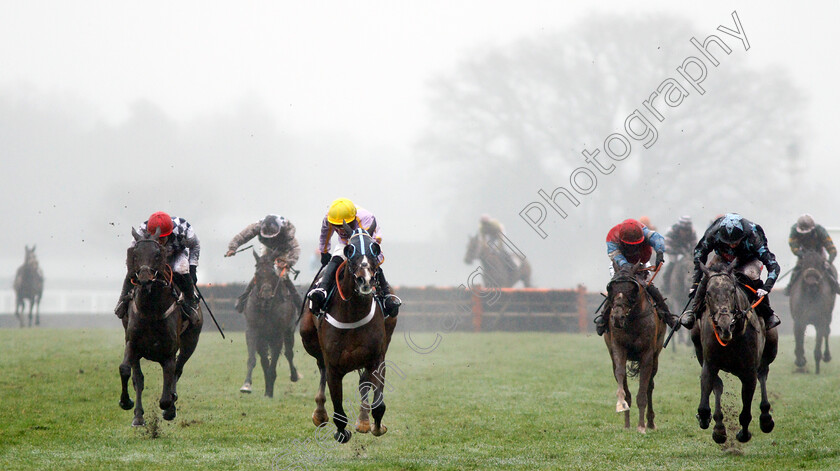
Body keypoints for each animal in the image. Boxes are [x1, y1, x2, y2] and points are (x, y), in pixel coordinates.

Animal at [117, 229, 203, 428]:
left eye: (157, 254)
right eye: (135, 254)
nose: (144, 280)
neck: (151, 311)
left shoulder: (169, 353)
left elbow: (166, 393)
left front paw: (169, 408)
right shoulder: (132, 344)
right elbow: (128, 372)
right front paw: (128, 405)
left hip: (191, 341)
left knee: (179, 369)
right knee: (139, 379)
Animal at [238, 249, 300, 396]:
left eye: (273, 274)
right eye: (257, 274)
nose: (266, 296)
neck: (266, 308)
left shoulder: (278, 334)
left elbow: (275, 360)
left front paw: (270, 388)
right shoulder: (252, 330)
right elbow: (253, 359)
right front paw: (246, 385)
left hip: (288, 332)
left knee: (289, 353)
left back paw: (293, 376)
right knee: (264, 359)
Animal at [298, 223, 398, 444]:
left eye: (375, 248)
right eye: (349, 249)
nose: (365, 279)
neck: (353, 314)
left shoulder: (377, 359)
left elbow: (378, 404)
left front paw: (375, 426)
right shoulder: (334, 366)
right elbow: (338, 410)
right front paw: (341, 432)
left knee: (364, 383)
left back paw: (363, 420)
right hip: (308, 338)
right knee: (321, 367)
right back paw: (320, 413)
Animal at [604, 264, 664, 434]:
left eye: (632, 289)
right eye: (612, 288)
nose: (617, 317)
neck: (632, 320)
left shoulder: (648, 353)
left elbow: (643, 390)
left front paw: (641, 426)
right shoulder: (618, 347)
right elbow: (620, 373)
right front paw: (622, 405)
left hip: (656, 356)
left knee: (650, 385)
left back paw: (650, 422)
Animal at [692, 262, 776, 446]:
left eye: (732, 290)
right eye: (708, 292)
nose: (724, 326)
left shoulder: (749, 372)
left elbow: (745, 412)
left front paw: (743, 434)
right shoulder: (709, 363)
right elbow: (706, 397)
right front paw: (708, 420)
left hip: (771, 348)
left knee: (763, 374)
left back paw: (766, 418)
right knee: (718, 386)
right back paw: (719, 426)